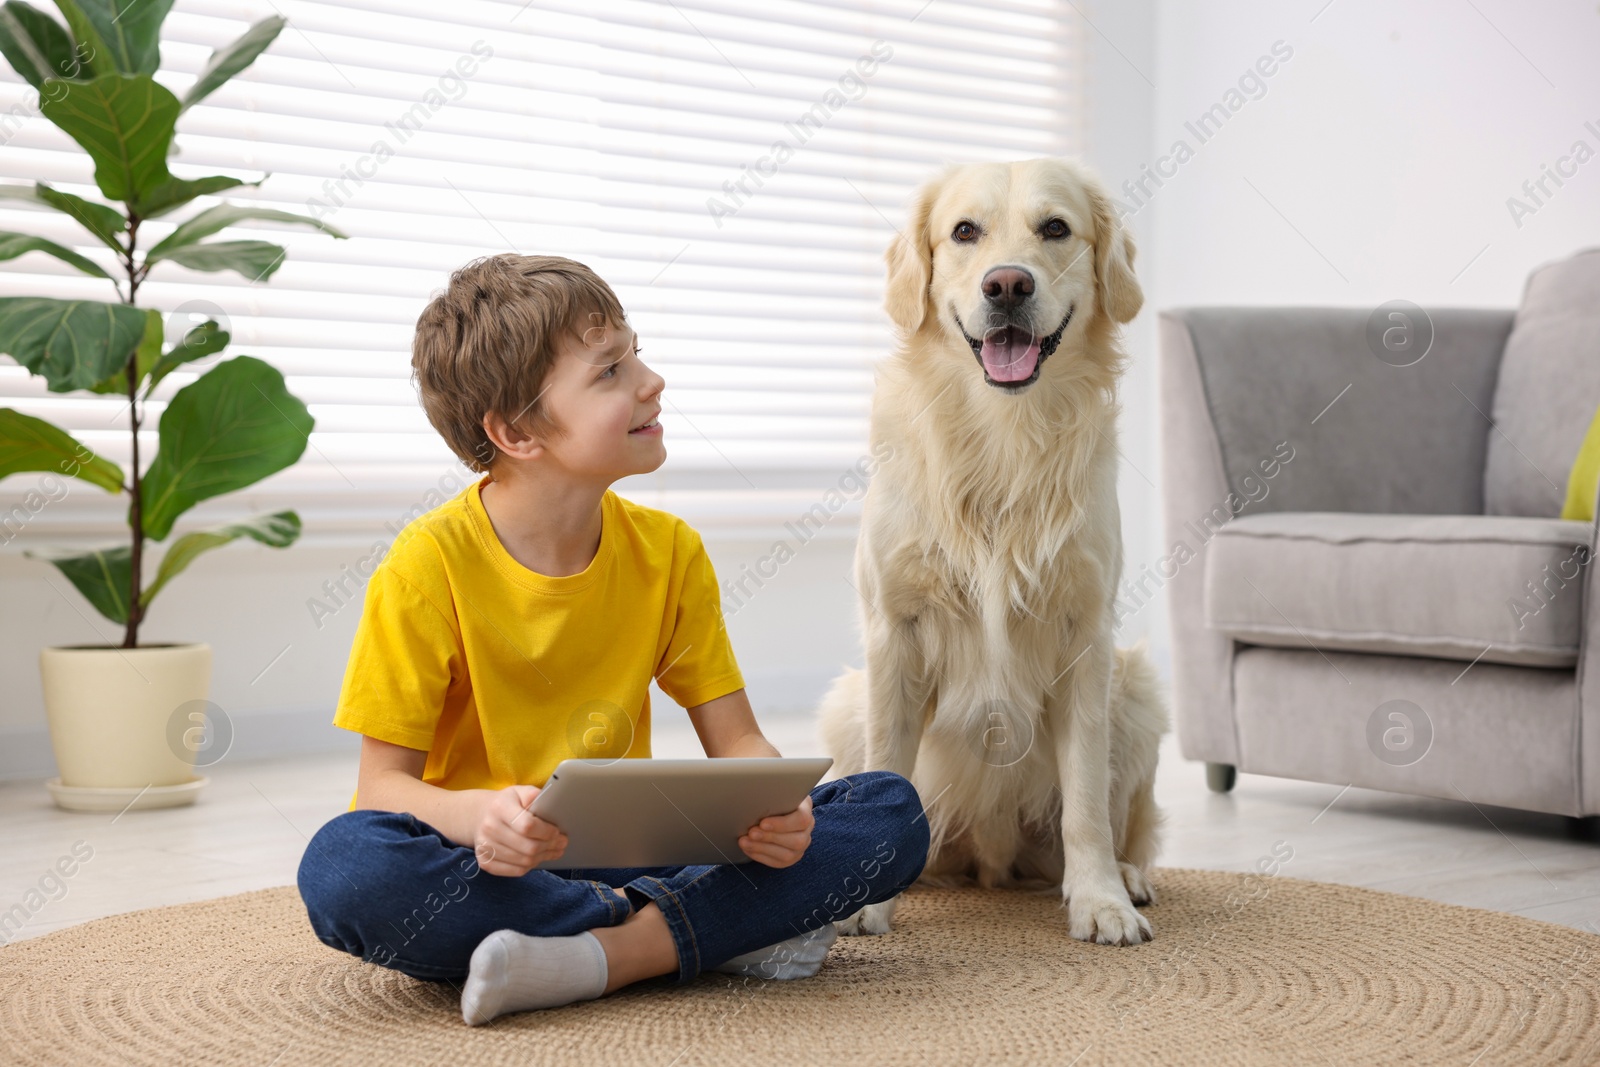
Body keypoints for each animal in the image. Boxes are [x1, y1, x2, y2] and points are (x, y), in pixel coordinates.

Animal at [819, 156, 1171, 940]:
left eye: (1056, 228)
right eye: (964, 232)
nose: (1007, 284)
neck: (1003, 438)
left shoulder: (1085, 636)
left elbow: (1086, 800)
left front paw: (1100, 898)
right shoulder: (895, 632)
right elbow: (886, 773)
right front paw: (864, 901)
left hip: (1136, 686)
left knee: (1116, 826)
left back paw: (1128, 878)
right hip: (849, 702)